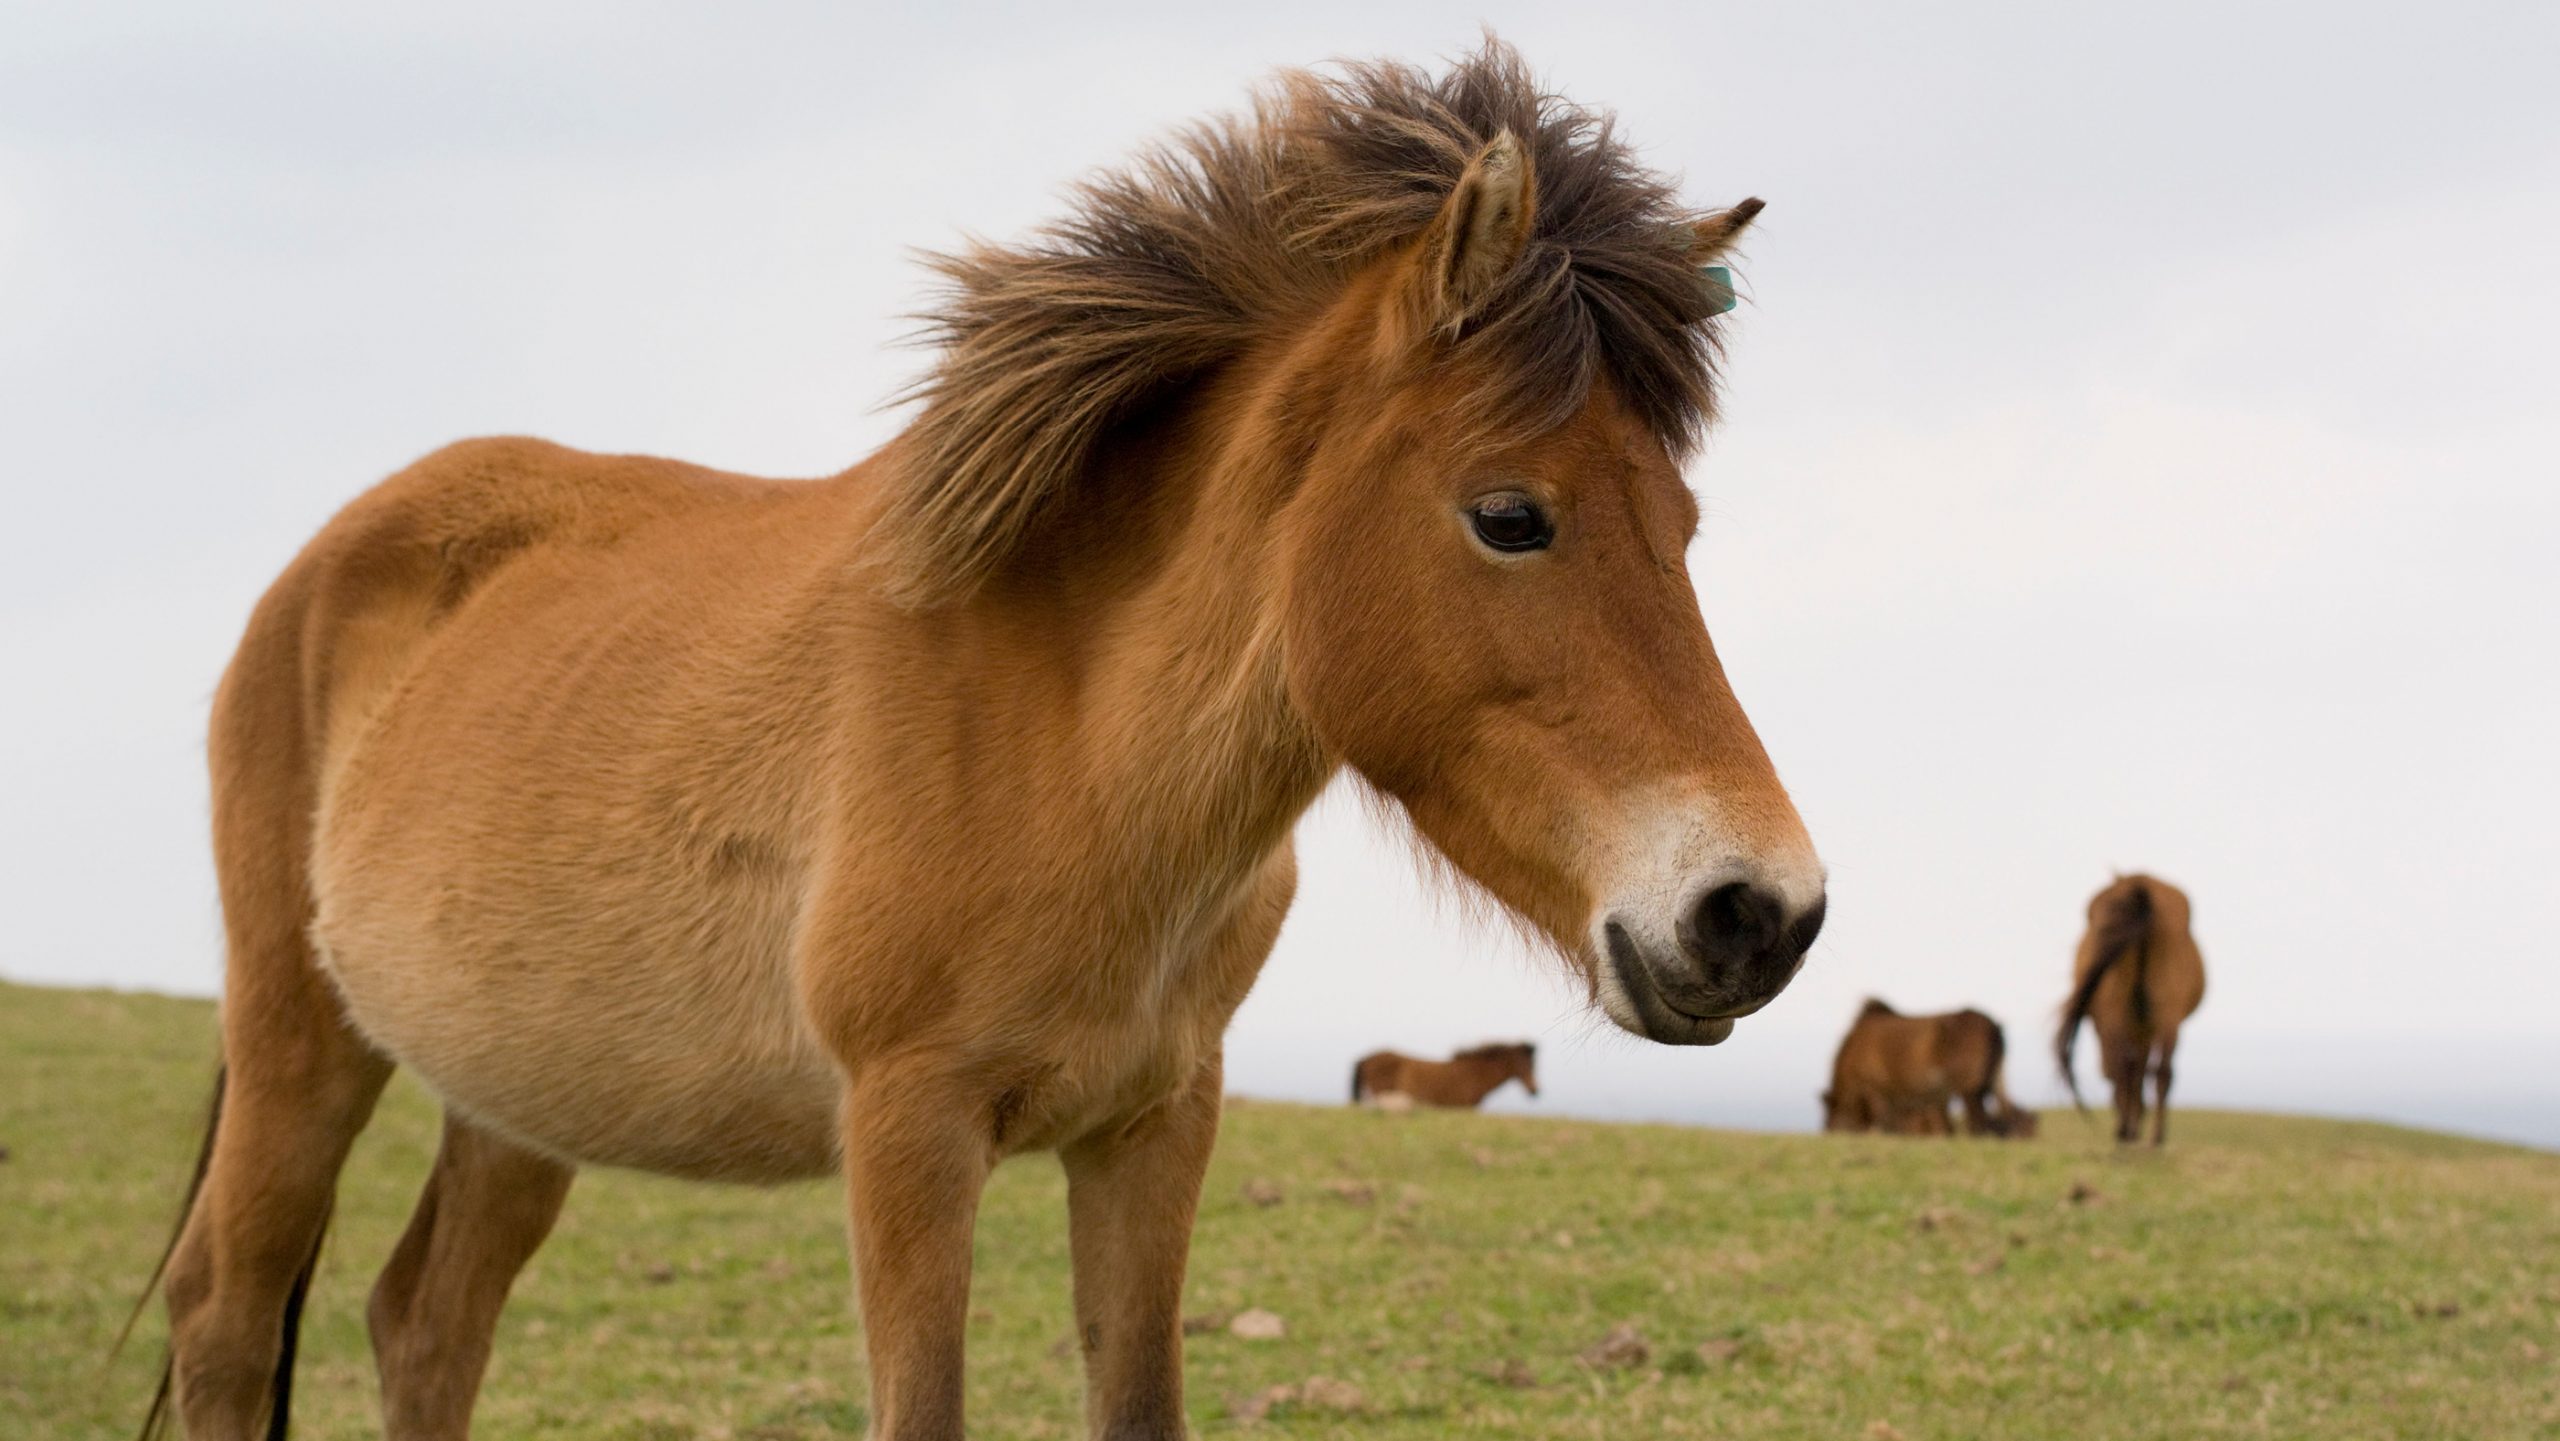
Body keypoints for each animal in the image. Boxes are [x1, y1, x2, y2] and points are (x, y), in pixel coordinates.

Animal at [1821, 1001, 2015, 1137]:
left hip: (1969, 1089)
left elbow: (1886, 1122)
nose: (1828, 1133)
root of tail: (1994, 1026)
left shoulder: (1876, 1089)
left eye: (1833, 1118)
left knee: (1980, 1122)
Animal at [2056, 873, 2205, 1146]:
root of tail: (2138, 884)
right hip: (2166, 1008)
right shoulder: (2144, 1026)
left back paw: (2128, 1130)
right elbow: (2140, 1070)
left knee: (2125, 1067)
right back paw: (2154, 1136)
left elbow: (2128, 1069)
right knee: (2160, 1071)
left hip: (2121, 1003)